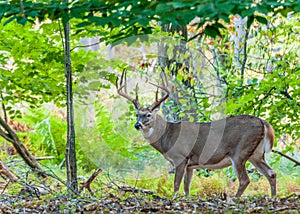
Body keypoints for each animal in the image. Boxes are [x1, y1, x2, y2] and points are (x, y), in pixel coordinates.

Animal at [115, 70, 276, 199]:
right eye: (137, 114)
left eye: (148, 115)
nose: (137, 125)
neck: (167, 137)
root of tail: (262, 121)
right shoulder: (191, 165)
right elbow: (187, 187)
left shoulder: (180, 157)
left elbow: (176, 185)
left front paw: (174, 200)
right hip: (256, 153)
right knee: (271, 173)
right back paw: (273, 198)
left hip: (240, 151)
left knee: (245, 180)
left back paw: (235, 199)